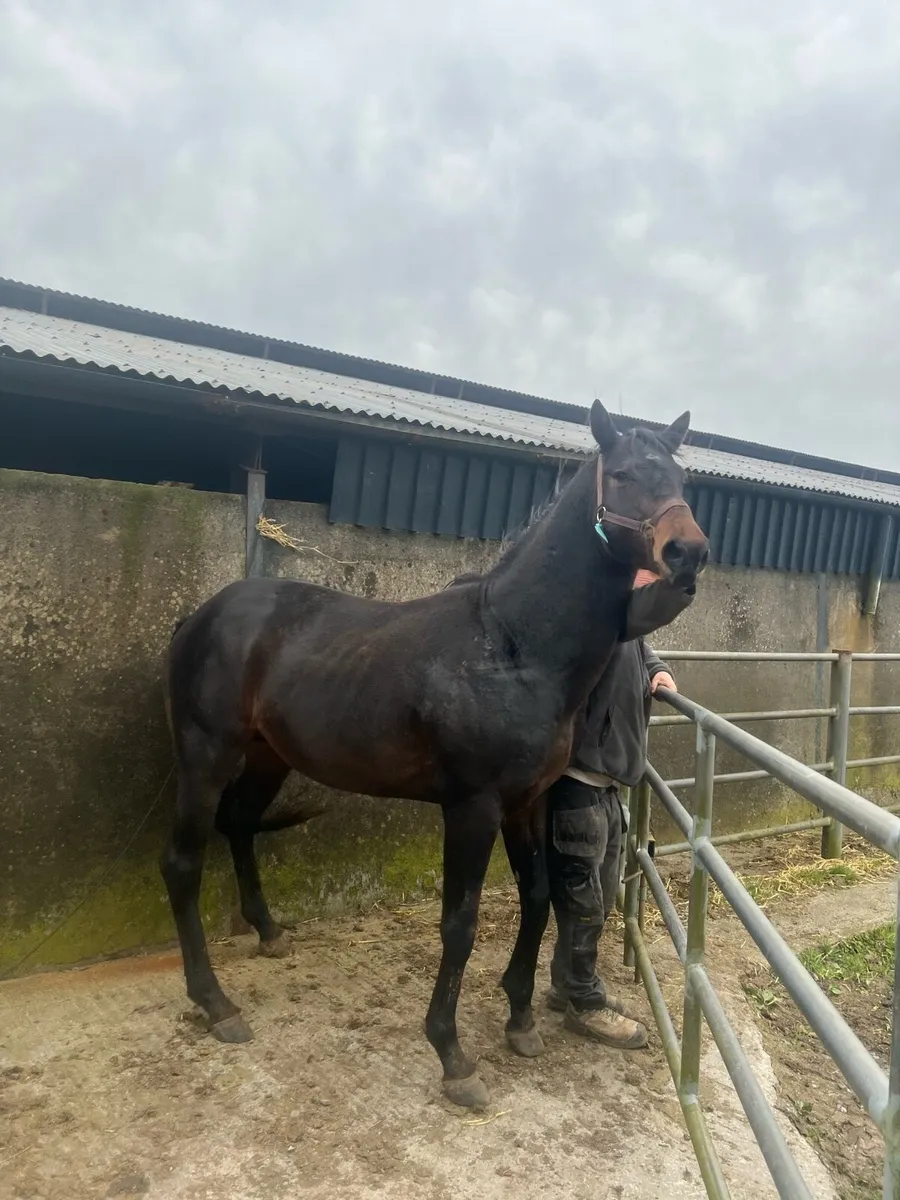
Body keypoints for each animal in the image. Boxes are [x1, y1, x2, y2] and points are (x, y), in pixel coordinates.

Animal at [161, 400, 708, 1107]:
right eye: (620, 475)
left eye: (680, 478)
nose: (688, 552)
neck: (512, 645)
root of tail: (202, 616)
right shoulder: (471, 808)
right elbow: (460, 923)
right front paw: (452, 1056)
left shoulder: (525, 802)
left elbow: (538, 898)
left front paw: (521, 1018)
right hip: (205, 757)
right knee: (182, 865)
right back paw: (216, 1003)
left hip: (267, 757)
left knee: (240, 825)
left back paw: (270, 933)